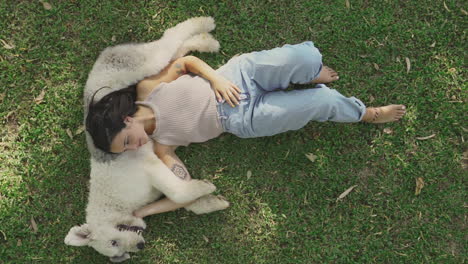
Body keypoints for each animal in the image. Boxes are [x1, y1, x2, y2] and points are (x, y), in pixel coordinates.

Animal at [65, 17, 229, 262]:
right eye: (119, 250)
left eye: (114, 241)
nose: (140, 246)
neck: (112, 205)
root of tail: (104, 55)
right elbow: (184, 200)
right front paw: (210, 202)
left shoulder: (150, 167)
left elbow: (178, 192)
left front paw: (205, 187)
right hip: (150, 70)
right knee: (177, 51)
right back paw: (205, 42)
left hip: (145, 62)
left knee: (171, 37)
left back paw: (203, 24)